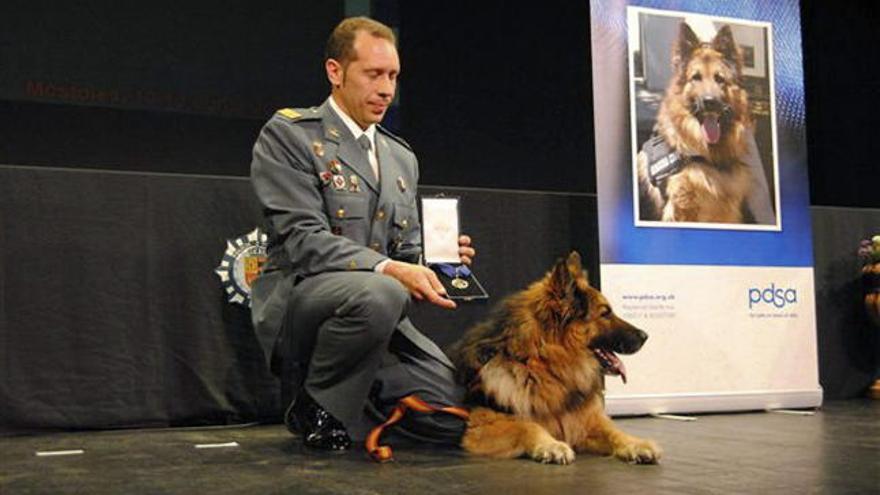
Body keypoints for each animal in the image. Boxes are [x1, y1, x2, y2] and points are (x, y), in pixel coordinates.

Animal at [454, 254, 660, 466]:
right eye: (605, 313)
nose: (645, 336)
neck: (540, 365)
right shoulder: (482, 424)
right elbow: (527, 426)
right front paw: (551, 446)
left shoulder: (583, 421)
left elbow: (613, 431)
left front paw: (635, 444)